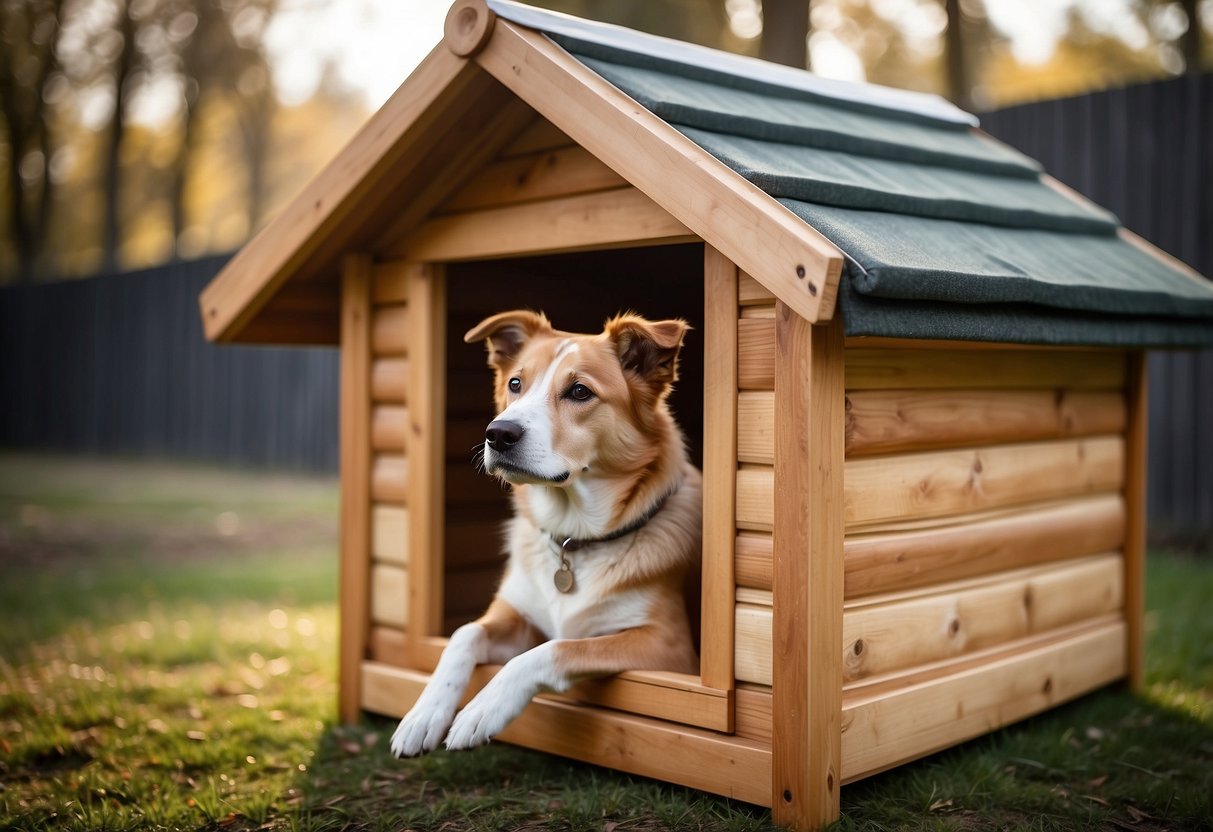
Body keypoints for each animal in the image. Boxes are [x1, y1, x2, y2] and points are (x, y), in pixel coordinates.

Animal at [388, 308, 703, 756]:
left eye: (579, 391)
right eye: (515, 384)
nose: (498, 434)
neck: (574, 538)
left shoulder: (671, 651)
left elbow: (554, 649)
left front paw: (482, 709)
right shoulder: (517, 615)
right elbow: (463, 634)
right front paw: (423, 713)